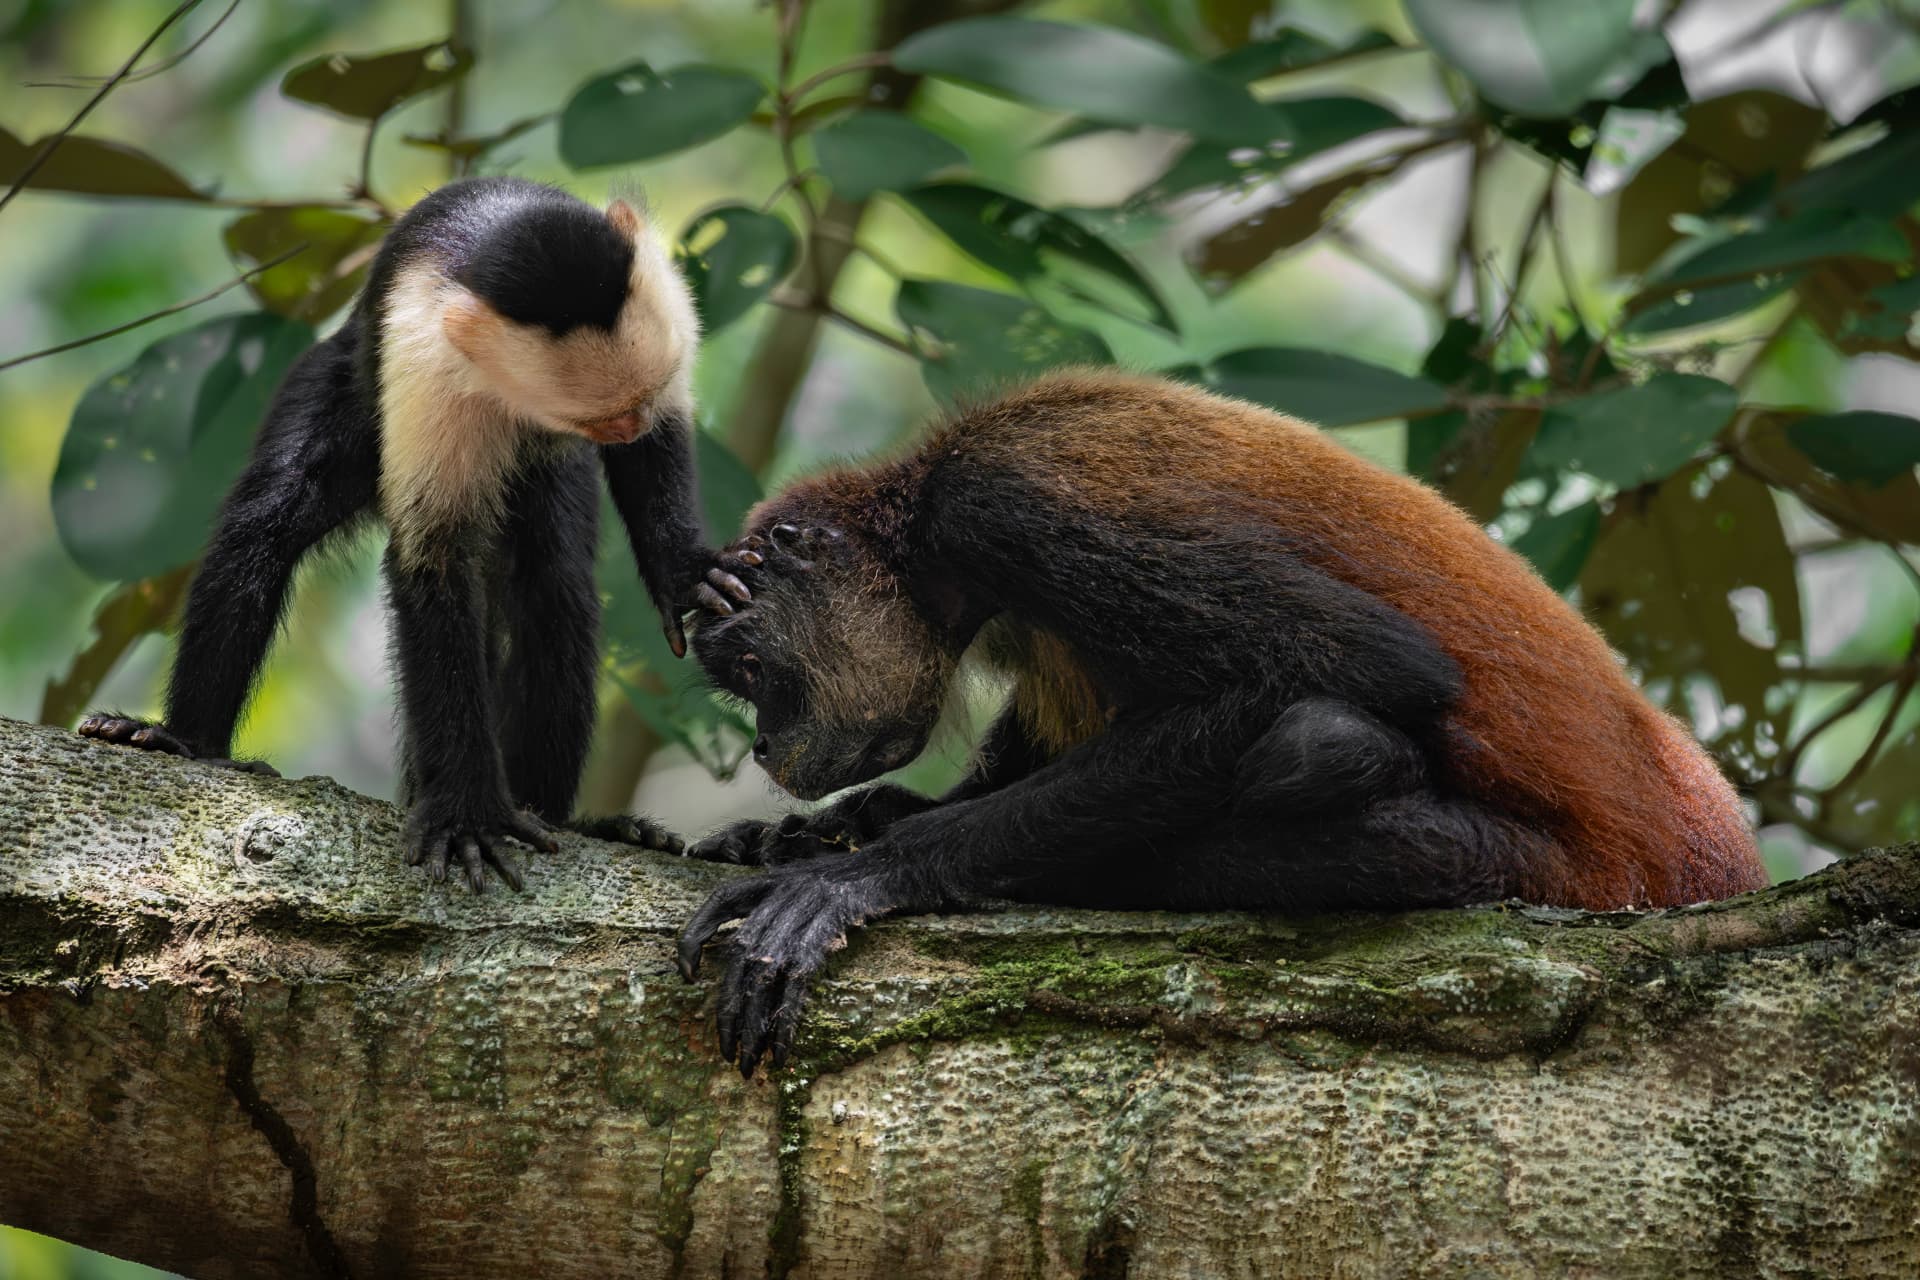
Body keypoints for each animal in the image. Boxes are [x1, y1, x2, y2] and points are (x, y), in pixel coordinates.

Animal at [78, 176, 748, 893]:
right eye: (602, 418)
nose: (625, 430)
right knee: (268, 517)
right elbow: (435, 558)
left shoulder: (656, 300)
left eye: (635, 409)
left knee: (553, 585)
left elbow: (662, 440)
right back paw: (185, 741)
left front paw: (685, 572)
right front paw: (467, 813)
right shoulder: (427, 356)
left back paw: (568, 819)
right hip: (344, 382)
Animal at [673, 368, 1767, 1076]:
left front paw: (861, 868)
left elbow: (1378, 662)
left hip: (1540, 869)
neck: (923, 533)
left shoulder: (999, 505)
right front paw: (828, 826)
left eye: (753, 672)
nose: (764, 745)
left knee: (1314, 742)